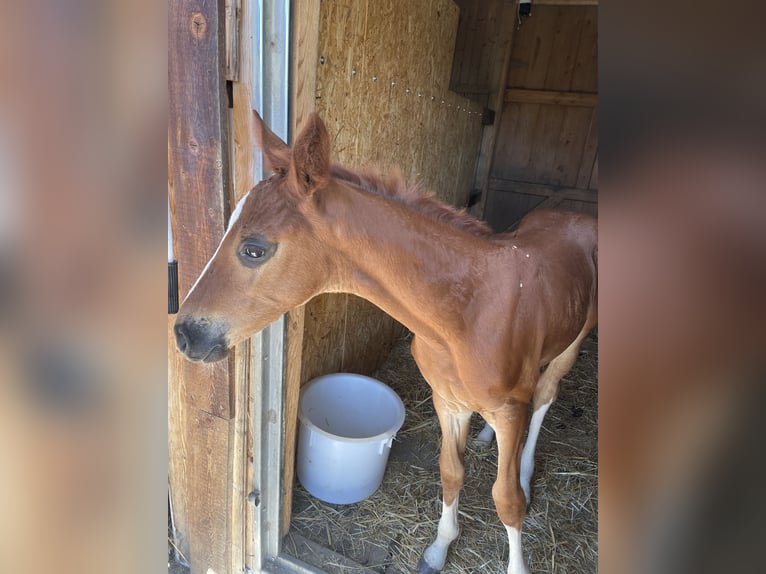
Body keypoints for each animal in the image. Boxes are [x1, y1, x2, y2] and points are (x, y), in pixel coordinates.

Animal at [174, 112, 598, 574]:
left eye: (254, 249)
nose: (185, 334)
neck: (465, 313)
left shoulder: (507, 408)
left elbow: (507, 500)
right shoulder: (447, 400)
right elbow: (451, 472)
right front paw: (438, 549)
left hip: (572, 345)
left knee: (544, 395)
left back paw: (523, 467)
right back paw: (488, 438)